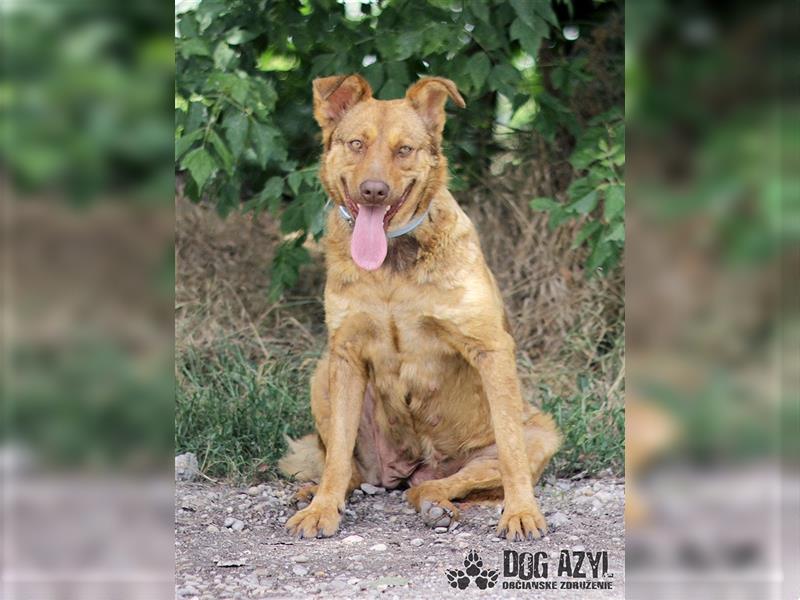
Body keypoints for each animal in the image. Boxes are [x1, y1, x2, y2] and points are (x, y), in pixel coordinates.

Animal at [282, 72, 564, 540]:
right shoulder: (345, 352)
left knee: (450, 482)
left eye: (404, 149)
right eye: (356, 144)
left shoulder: (490, 349)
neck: (391, 267)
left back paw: (436, 503)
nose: (373, 191)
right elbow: (337, 452)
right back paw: (316, 492)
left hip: (540, 432)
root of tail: (412, 468)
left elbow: (510, 452)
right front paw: (322, 509)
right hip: (322, 375)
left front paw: (522, 512)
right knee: (352, 470)